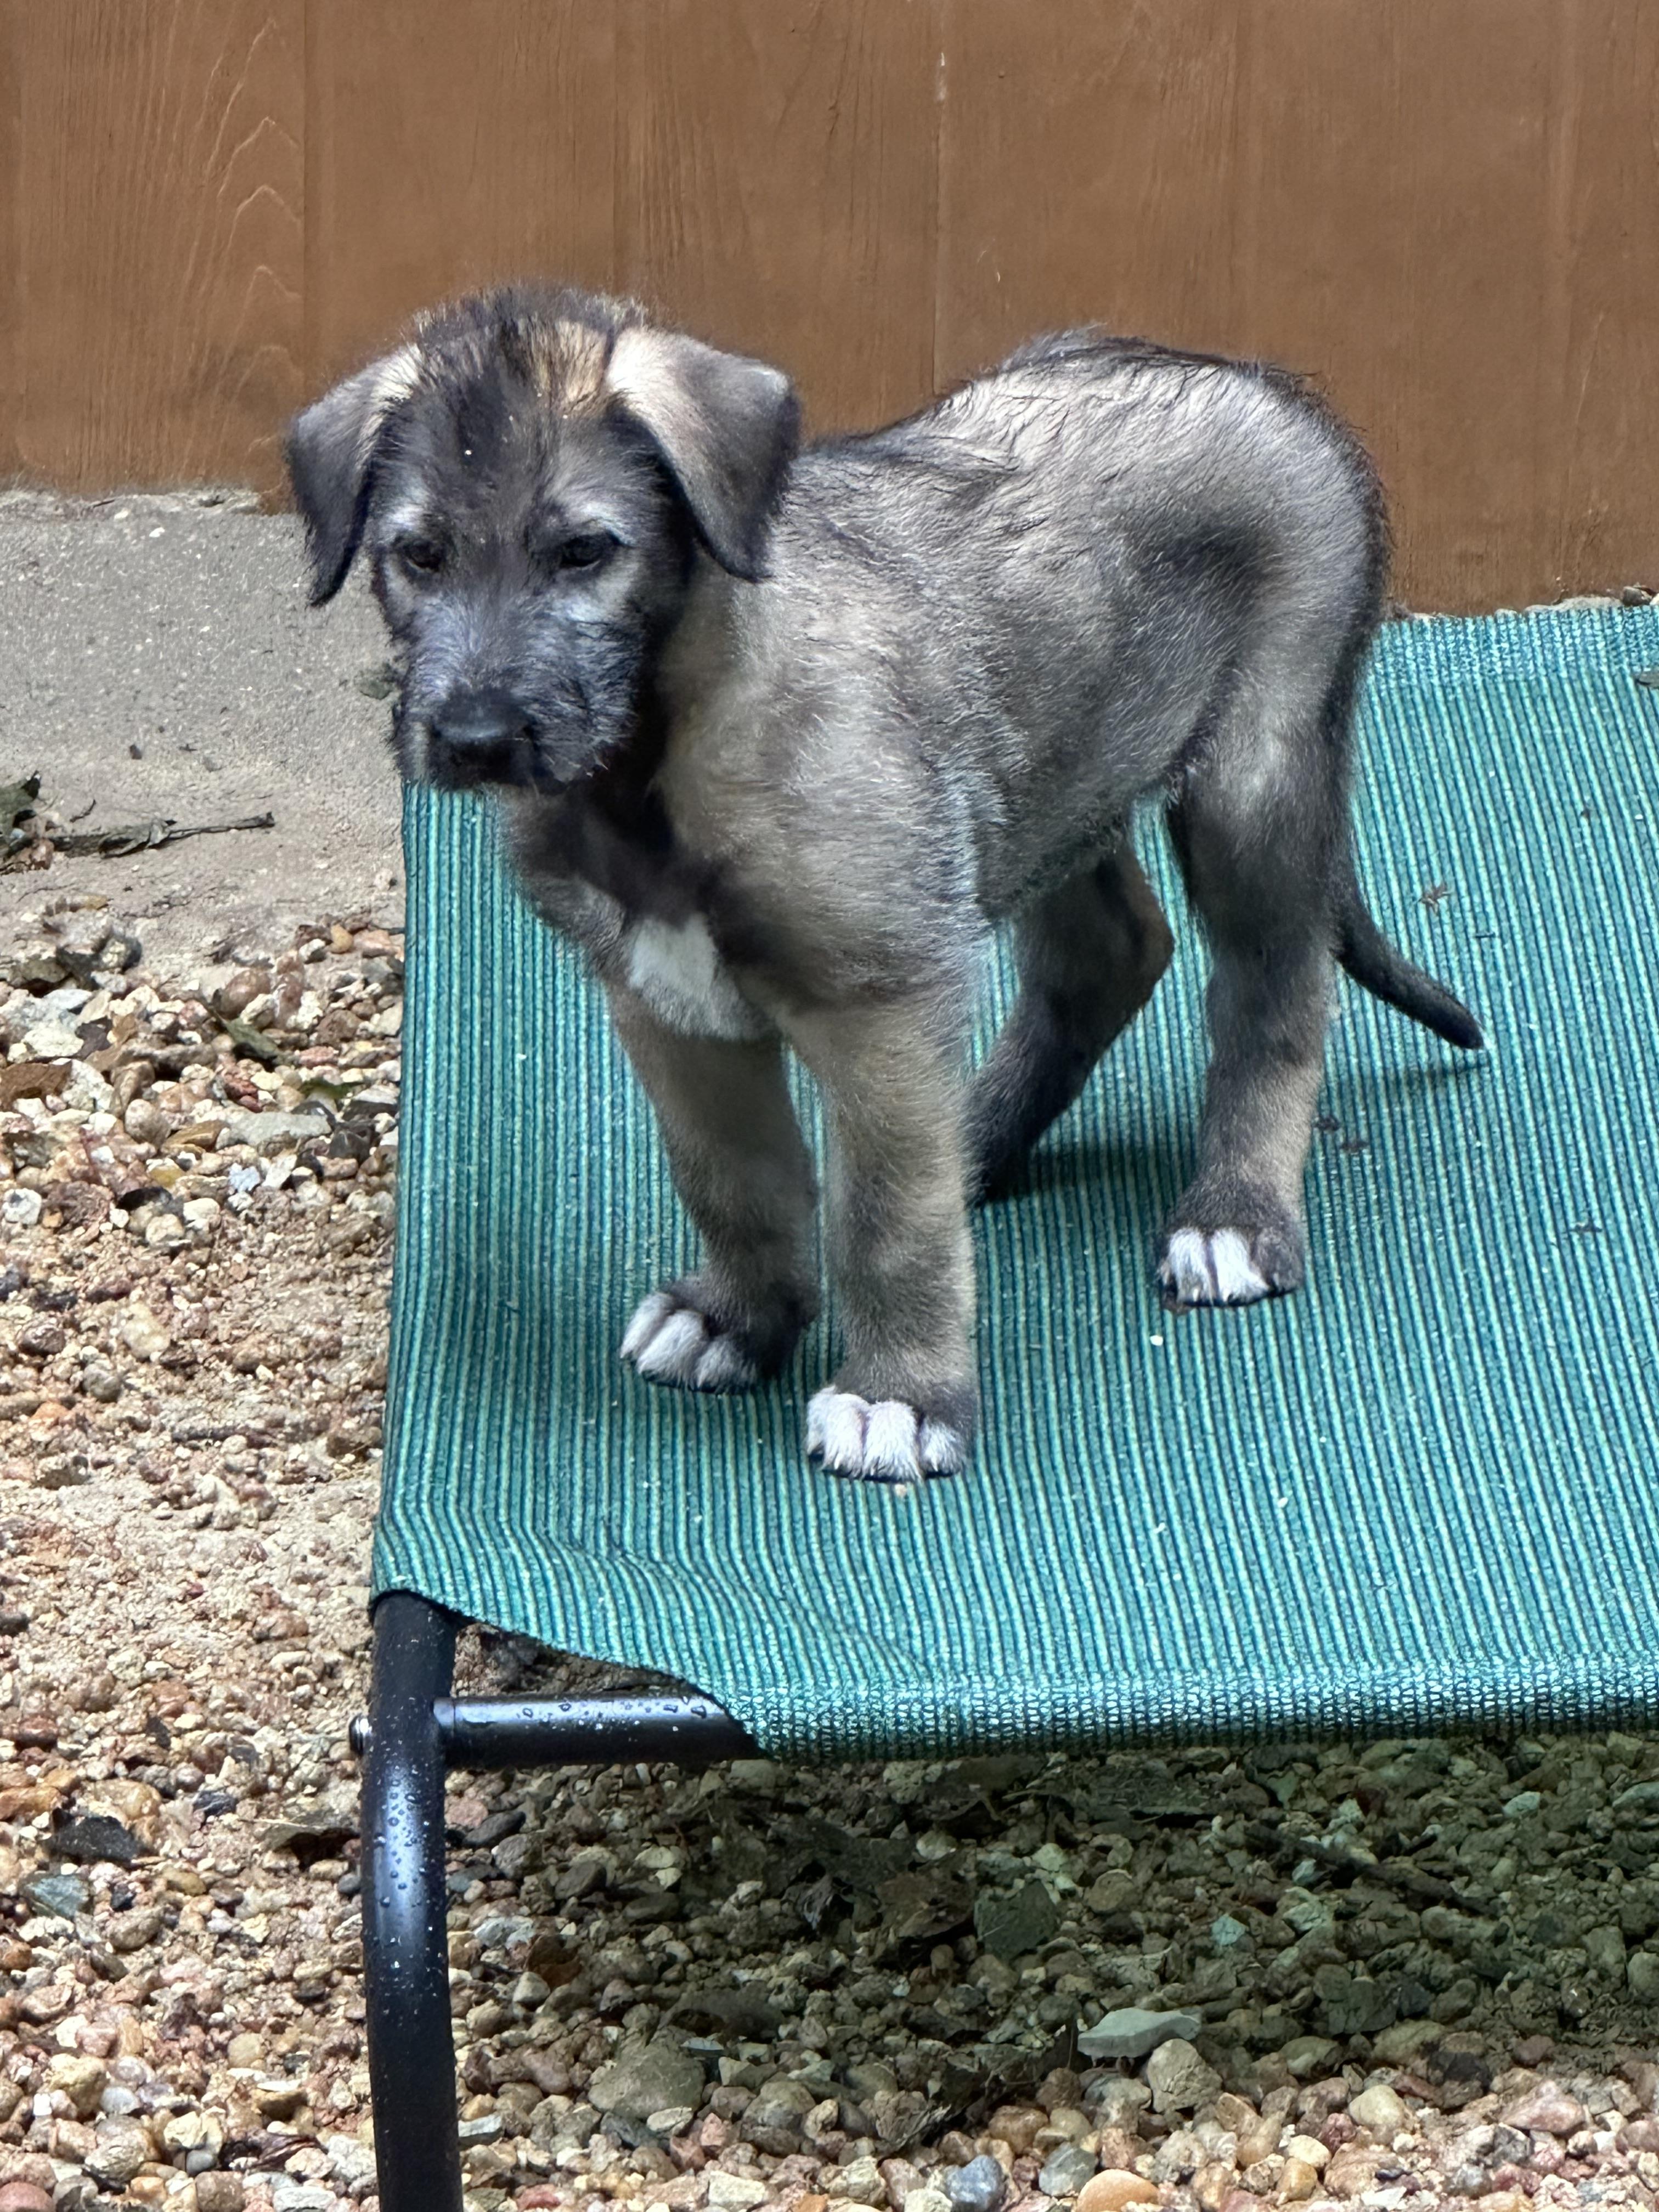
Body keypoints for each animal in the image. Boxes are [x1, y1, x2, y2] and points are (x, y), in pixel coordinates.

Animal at [287, 285, 1482, 1484]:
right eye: (419, 555)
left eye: (584, 551)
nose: (474, 737)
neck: (653, 763)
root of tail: (1271, 387)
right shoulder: (669, 1008)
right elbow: (733, 1179)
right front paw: (739, 1317)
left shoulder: (878, 1003)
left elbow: (887, 1220)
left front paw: (900, 1395)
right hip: (1047, 787)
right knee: (1110, 955)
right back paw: (981, 1136)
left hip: (1253, 775)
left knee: (1273, 989)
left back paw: (1234, 1213)